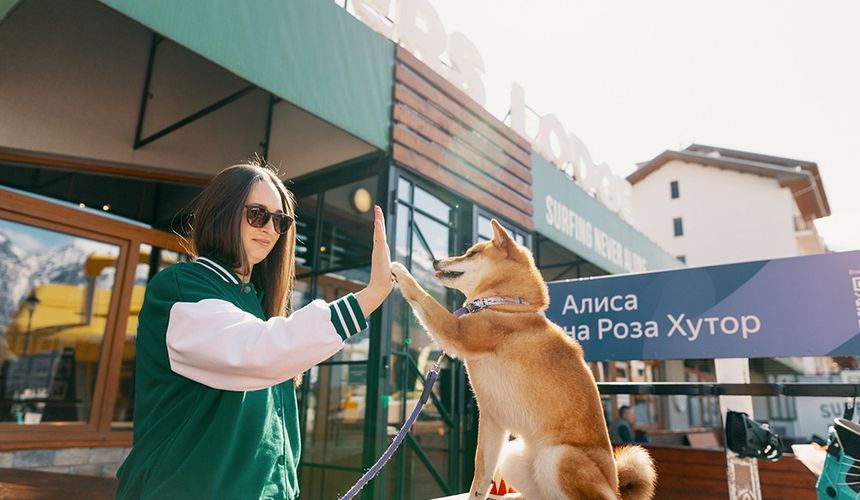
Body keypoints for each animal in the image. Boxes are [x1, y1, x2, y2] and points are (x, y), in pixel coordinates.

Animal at [392, 221, 660, 498]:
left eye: (472, 253)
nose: (435, 260)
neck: (507, 305)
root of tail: (615, 486)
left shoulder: (456, 331)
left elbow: (423, 296)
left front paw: (400, 269)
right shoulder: (492, 420)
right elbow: (480, 476)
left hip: (557, 456)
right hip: (514, 455)